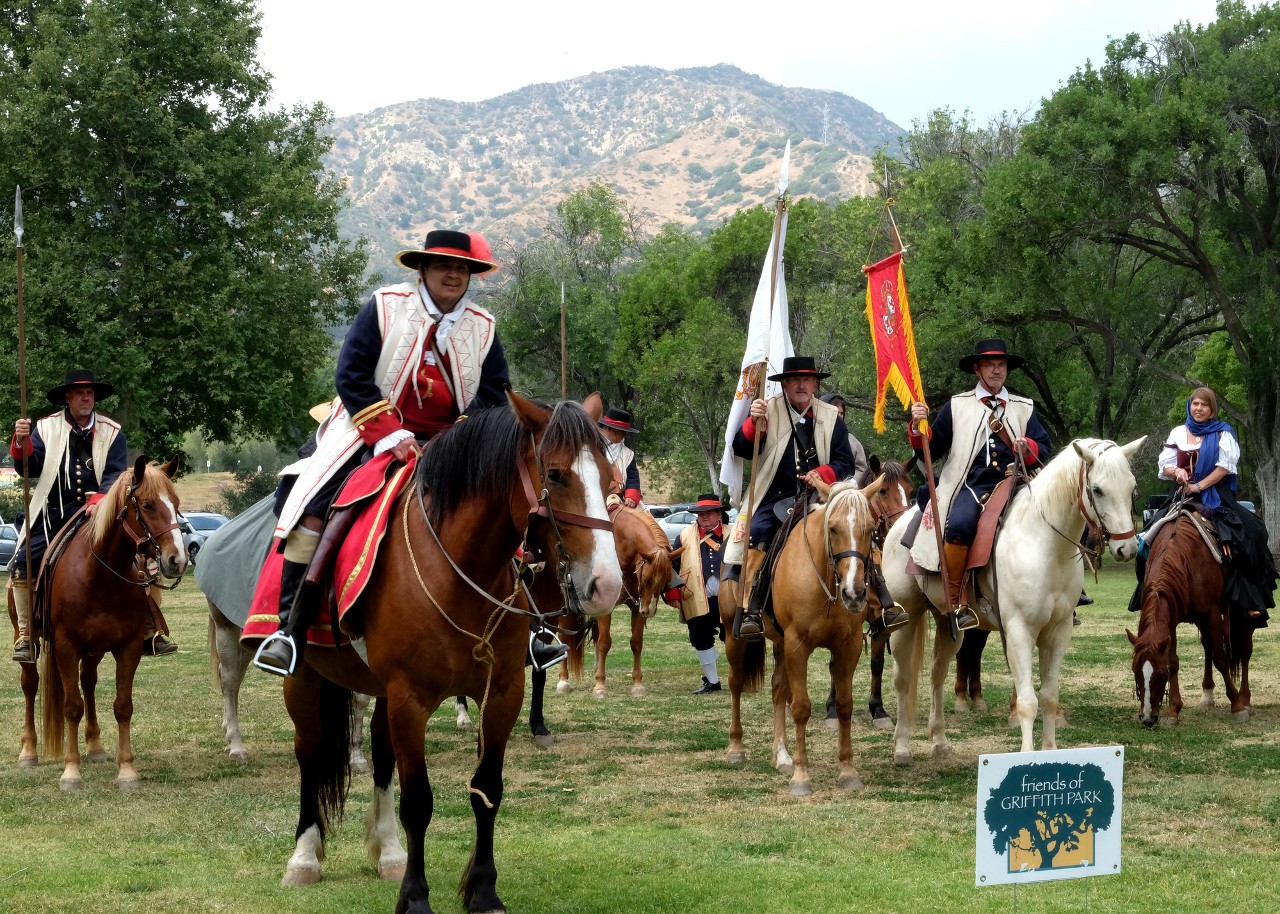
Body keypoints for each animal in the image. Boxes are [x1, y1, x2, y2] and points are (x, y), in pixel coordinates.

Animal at [20, 453, 186, 788]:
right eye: (147, 505)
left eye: (175, 503)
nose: (178, 560)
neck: (99, 575)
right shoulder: (65, 645)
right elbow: (72, 707)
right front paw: (71, 772)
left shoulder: (129, 646)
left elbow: (123, 706)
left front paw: (127, 771)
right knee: (31, 685)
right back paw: (28, 750)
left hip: (95, 649)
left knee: (89, 682)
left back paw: (95, 746)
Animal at [277, 394, 622, 911]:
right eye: (557, 474)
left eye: (609, 475)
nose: (606, 586)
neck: (459, 570)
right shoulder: (410, 700)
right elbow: (418, 803)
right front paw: (416, 897)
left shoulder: (501, 694)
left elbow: (487, 790)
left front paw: (483, 889)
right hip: (305, 679)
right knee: (311, 751)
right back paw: (304, 857)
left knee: (380, 755)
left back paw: (388, 853)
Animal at [555, 501, 675, 701]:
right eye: (647, 579)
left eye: (665, 581)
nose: (649, 611)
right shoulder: (608, 609)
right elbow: (604, 643)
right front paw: (600, 687)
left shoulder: (637, 606)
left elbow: (636, 643)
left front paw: (637, 684)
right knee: (565, 637)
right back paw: (563, 681)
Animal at [885, 435, 1146, 752]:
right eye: (1097, 489)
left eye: (1132, 488)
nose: (1127, 548)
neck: (1045, 544)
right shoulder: (1020, 631)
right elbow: (1027, 703)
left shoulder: (1058, 632)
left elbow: (1049, 698)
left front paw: (1050, 752)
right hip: (906, 618)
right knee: (903, 679)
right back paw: (901, 746)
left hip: (949, 623)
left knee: (937, 673)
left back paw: (940, 741)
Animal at [1126, 512, 1254, 727]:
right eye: (1136, 671)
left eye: (1160, 674)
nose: (1147, 718)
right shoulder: (1171, 620)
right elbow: (1174, 661)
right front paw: (1173, 711)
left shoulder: (1212, 613)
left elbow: (1221, 660)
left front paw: (1236, 706)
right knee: (1208, 647)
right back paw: (1207, 695)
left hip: (1240, 616)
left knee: (1244, 650)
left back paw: (1244, 698)